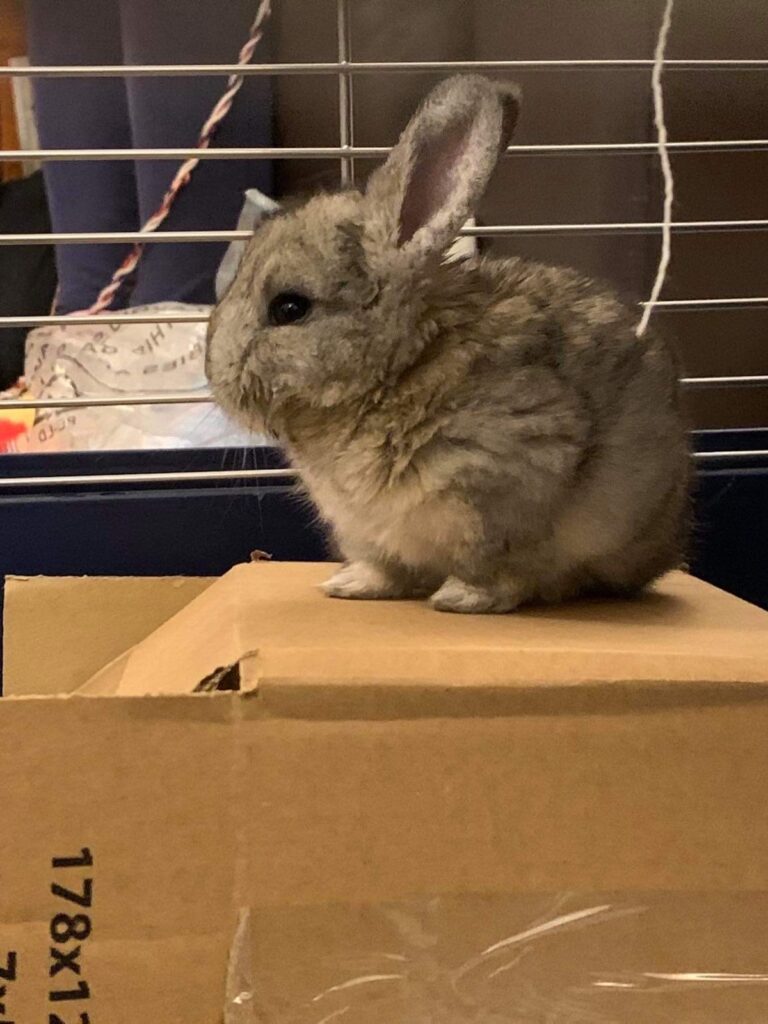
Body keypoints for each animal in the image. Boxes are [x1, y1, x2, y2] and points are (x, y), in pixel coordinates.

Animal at [206, 75, 690, 613]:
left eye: (290, 308)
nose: (214, 377)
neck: (399, 367)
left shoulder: (499, 495)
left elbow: (495, 568)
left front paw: (461, 598)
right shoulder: (367, 532)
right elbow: (384, 568)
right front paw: (347, 586)